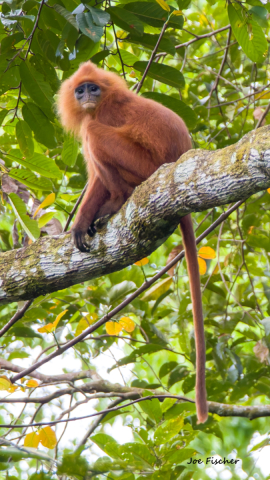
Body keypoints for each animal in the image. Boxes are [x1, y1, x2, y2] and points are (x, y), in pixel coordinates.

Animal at [57, 61, 207, 424]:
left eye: (93, 88)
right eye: (80, 89)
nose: (86, 96)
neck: (101, 103)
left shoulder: (107, 114)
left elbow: (95, 153)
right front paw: (82, 222)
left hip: (143, 165)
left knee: (93, 134)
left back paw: (118, 200)